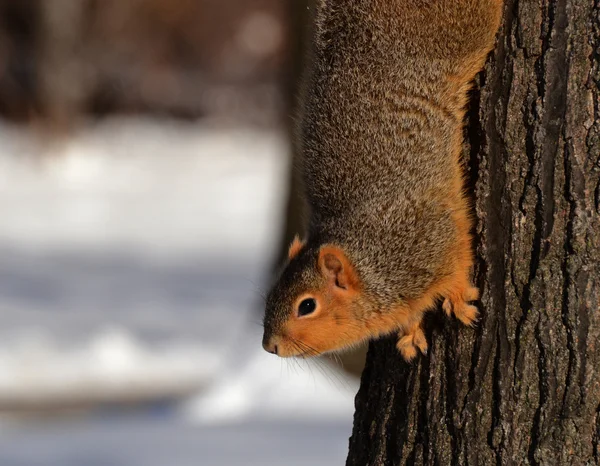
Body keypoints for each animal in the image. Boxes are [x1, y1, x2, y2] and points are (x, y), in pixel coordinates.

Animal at [262, 0, 502, 360]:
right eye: (269, 297)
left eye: (306, 306)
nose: (269, 345)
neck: (373, 260)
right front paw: (411, 333)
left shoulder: (433, 238)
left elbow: (458, 265)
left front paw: (460, 302)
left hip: (463, 27)